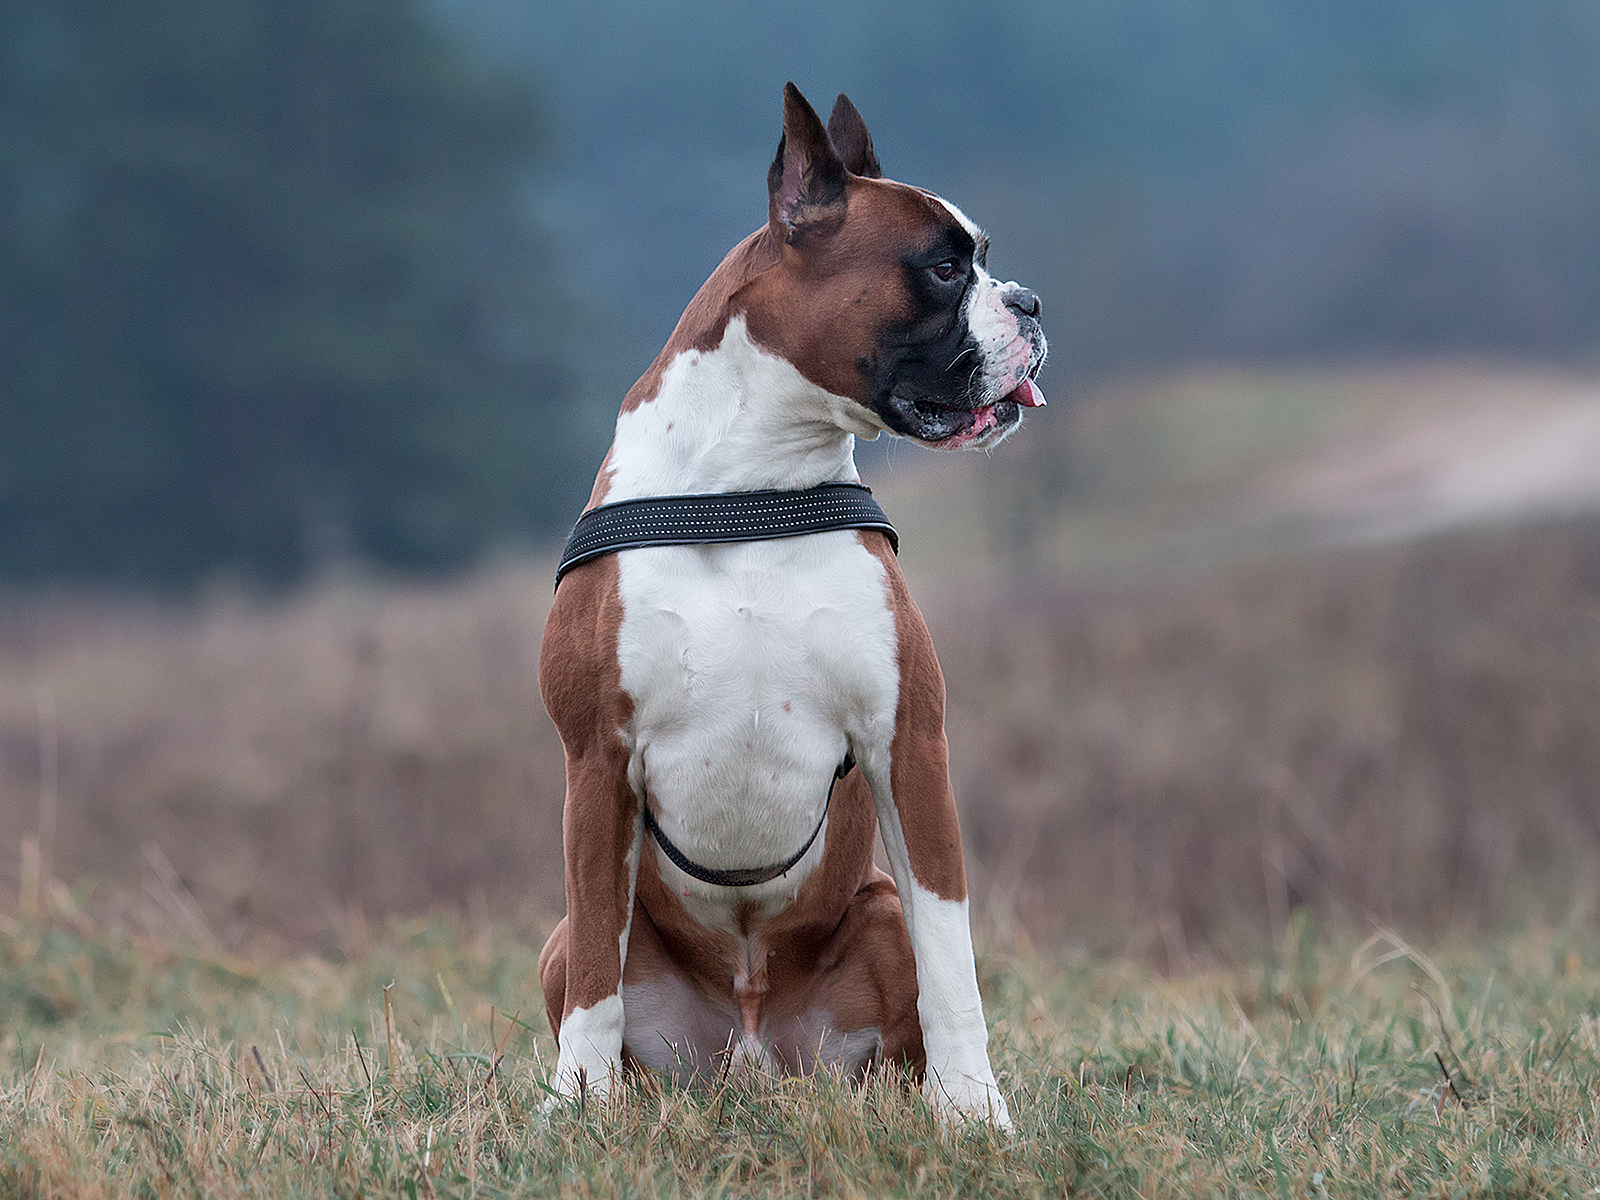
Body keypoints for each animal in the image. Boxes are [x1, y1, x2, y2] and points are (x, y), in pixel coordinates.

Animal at [537, 84, 1049, 1126]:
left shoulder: (907, 746)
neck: (752, 482)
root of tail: (750, 1041)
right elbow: (598, 981)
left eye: (983, 261)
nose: (1031, 301)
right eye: (944, 267)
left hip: (875, 914)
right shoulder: (596, 762)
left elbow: (953, 959)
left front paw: (974, 1113)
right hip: (561, 940)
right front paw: (576, 1107)